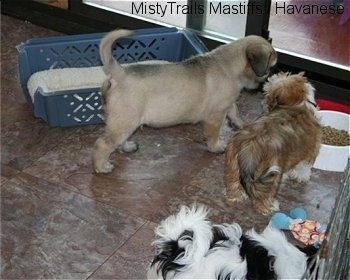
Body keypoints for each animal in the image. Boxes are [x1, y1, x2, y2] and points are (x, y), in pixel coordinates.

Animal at [226, 71, 322, 214]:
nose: (264, 103)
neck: (298, 104)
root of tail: (250, 146)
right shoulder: (311, 149)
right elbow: (303, 166)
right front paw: (301, 176)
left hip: (233, 164)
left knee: (233, 183)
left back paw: (235, 196)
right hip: (272, 171)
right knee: (263, 196)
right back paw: (269, 207)